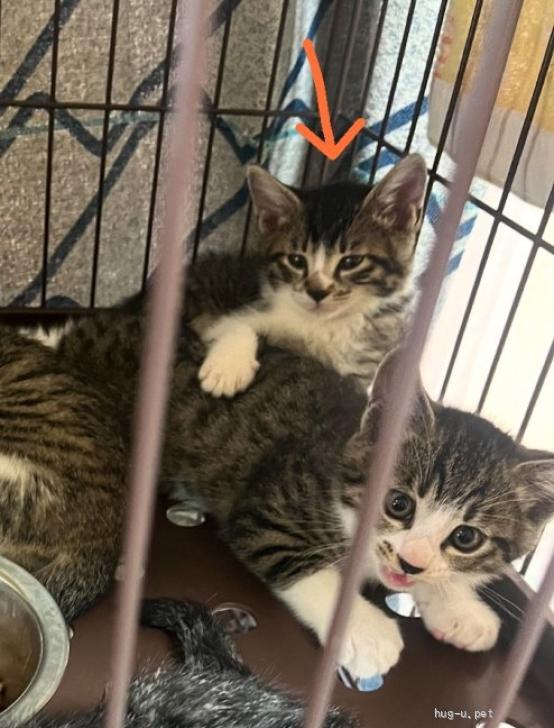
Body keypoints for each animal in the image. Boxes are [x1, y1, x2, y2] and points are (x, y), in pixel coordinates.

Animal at [54, 314, 554, 682]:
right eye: (398, 504)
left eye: (466, 537)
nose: (411, 562)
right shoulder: (266, 509)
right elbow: (307, 567)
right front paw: (367, 631)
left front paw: (459, 608)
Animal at [189, 153, 427, 397]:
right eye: (296, 260)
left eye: (351, 262)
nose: (317, 292)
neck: (325, 325)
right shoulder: (218, 317)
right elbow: (236, 321)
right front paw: (226, 368)